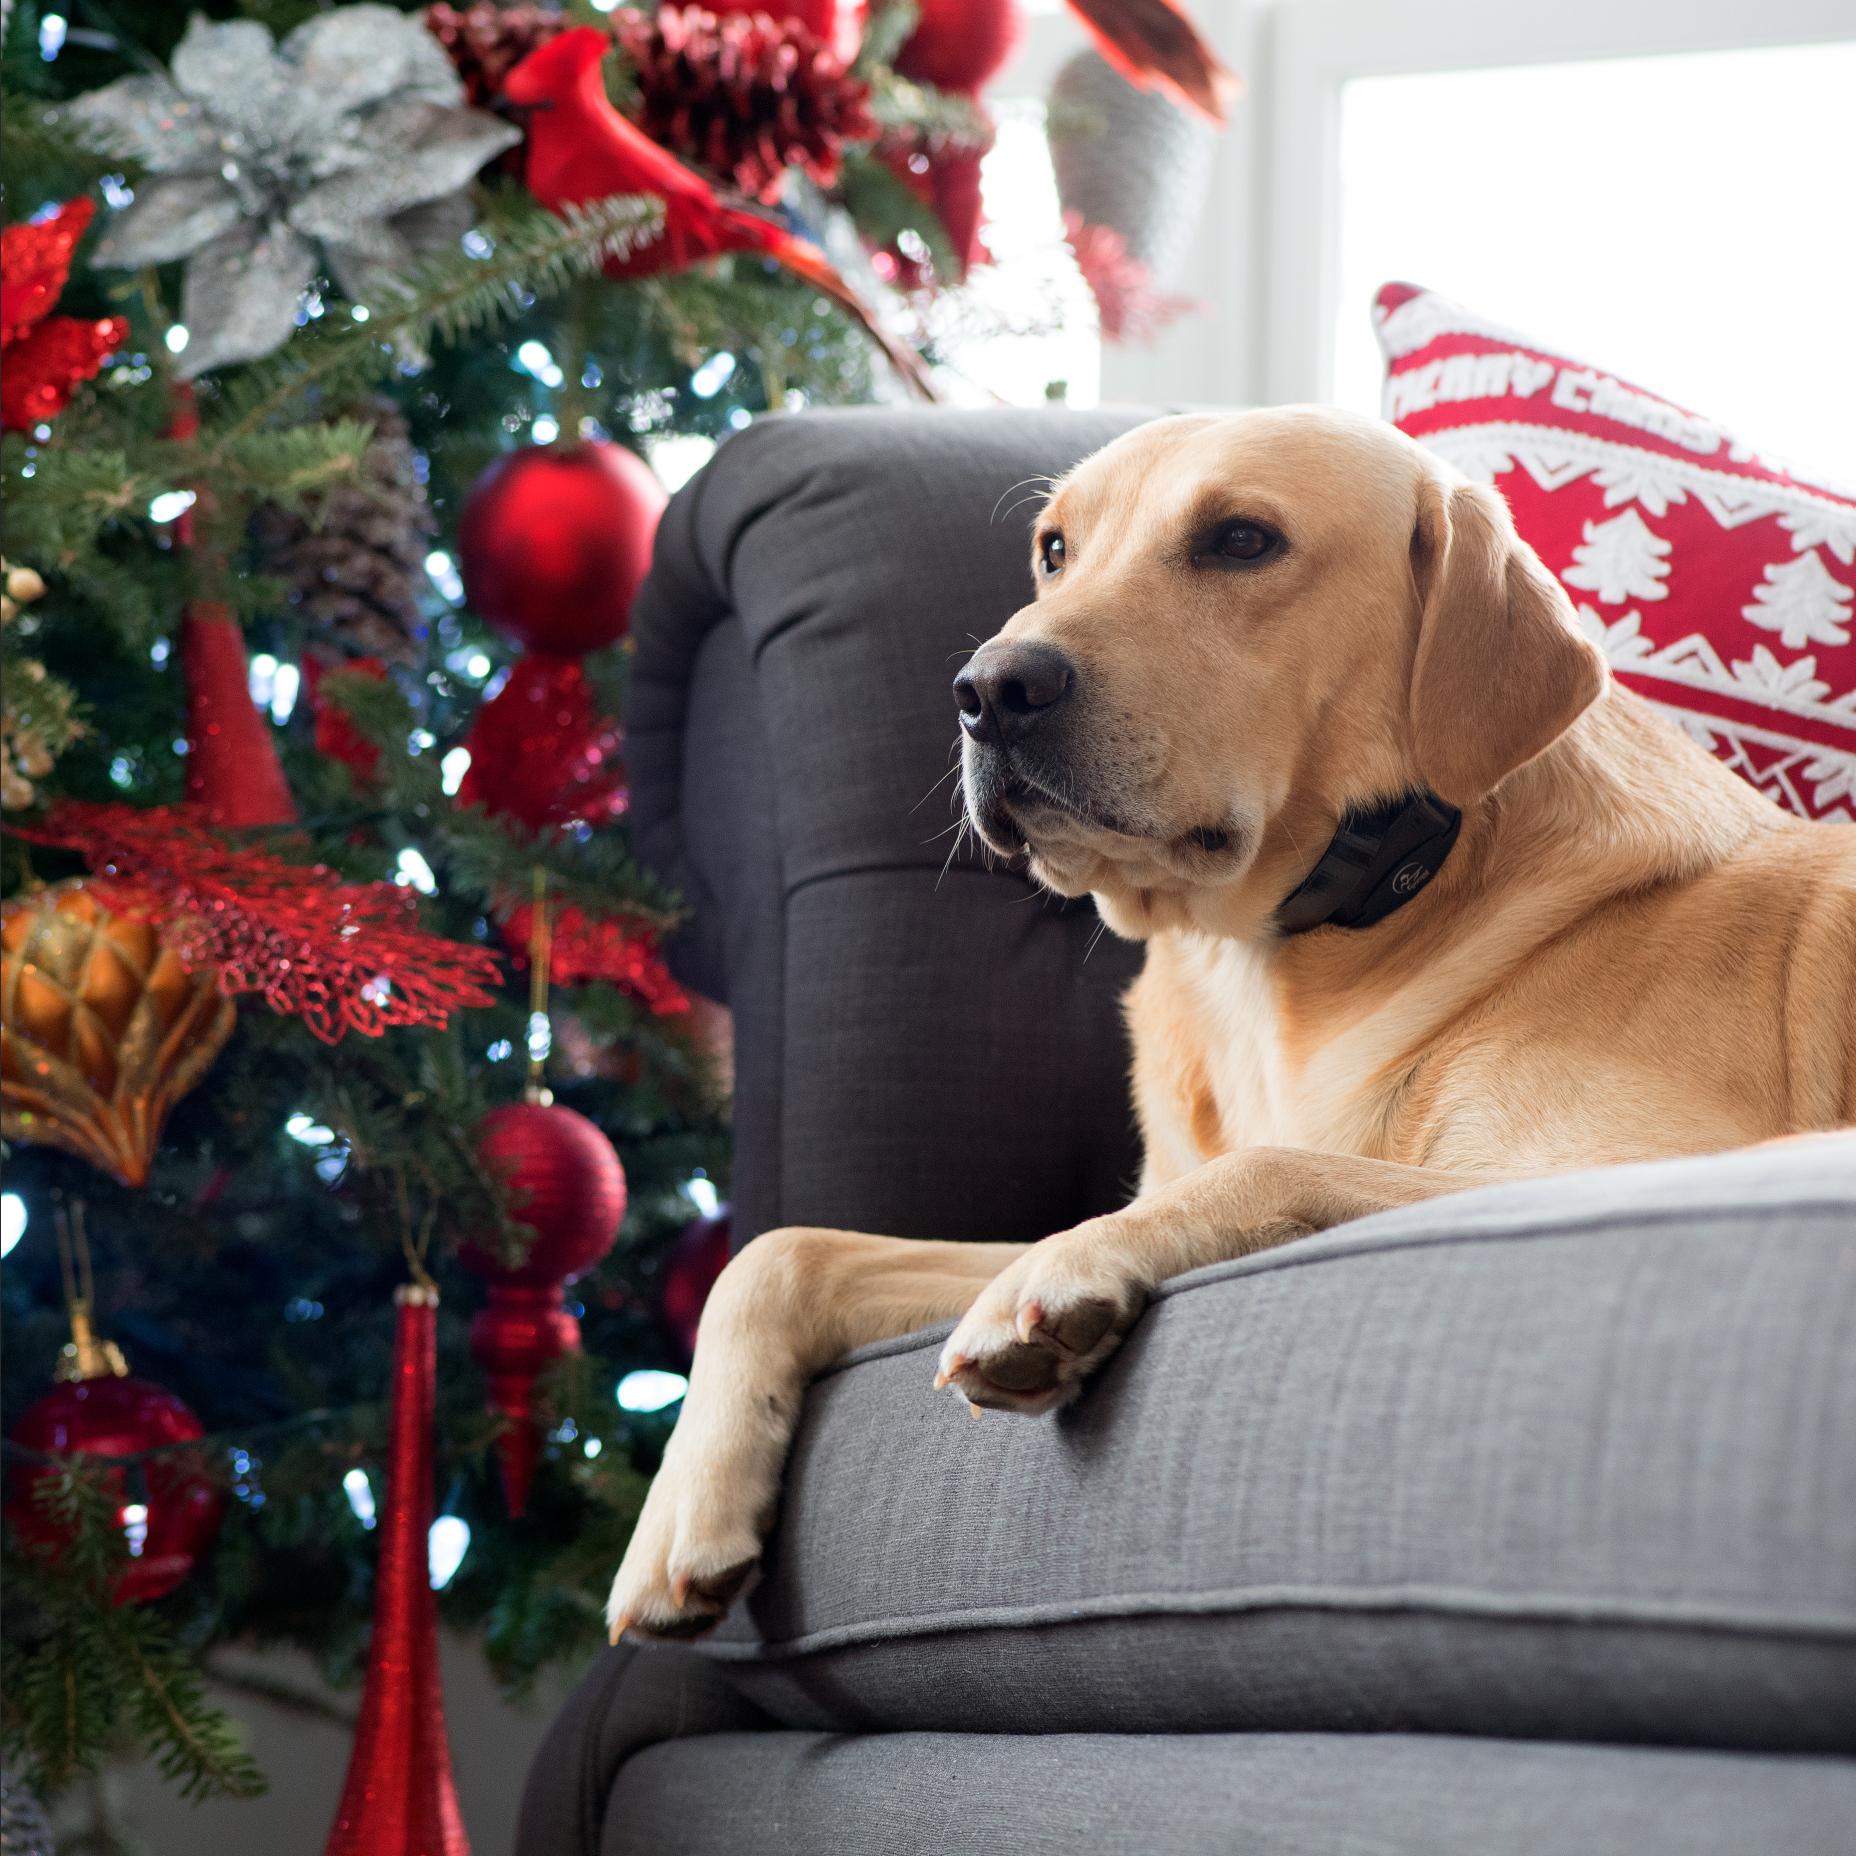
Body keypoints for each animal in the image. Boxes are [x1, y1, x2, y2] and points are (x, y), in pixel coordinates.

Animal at [608, 402, 1856, 1640]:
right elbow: (777, 1249)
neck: (1285, 947)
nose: (988, 687)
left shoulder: (1639, 1160)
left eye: (1241, 540)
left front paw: (1062, 1279)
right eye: (1052, 551)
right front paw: (676, 1514)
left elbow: (1264, 1164)